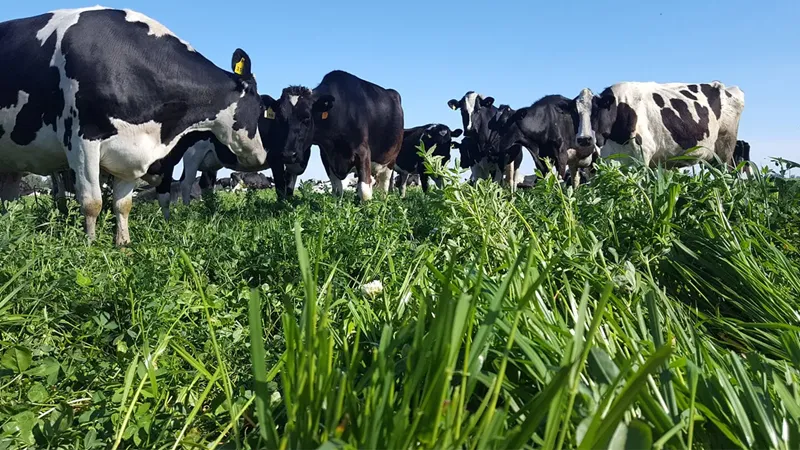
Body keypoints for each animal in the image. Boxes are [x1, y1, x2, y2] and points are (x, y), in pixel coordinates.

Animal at [0, 7, 267, 245]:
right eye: (260, 107)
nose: (262, 155)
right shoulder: (82, 141)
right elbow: (92, 203)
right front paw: (90, 247)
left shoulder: (131, 153)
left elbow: (123, 204)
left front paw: (123, 245)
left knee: (8, 201)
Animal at [313, 71, 404, 201]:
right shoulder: (326, 156)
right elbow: (337, 191)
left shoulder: (362, 151)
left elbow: (364, 191)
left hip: (390, 158)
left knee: (384, 186)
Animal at [584, 82, 745, 171]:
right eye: (577, 115)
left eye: (595, 113)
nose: (584, 139)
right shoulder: (611, 158)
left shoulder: (642, 154)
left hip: (725, 147)